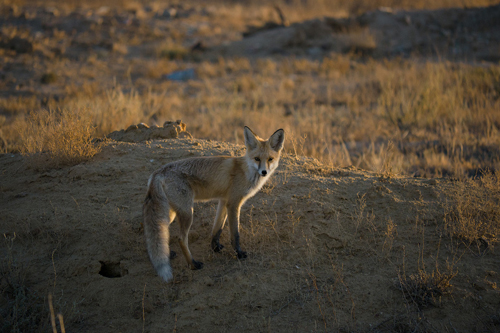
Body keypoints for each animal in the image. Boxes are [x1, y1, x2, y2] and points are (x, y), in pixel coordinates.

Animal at [144, 126, 286, 282]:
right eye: (257, 159)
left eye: (270, 159)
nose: (264, 172)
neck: (245, 171)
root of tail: (157, 173)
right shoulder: (234, 203)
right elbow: (235, 234)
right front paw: (239, 254)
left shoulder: (223, 201)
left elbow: (217, 228)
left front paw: (215, 247)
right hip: (187, 212)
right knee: (181, 239)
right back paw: (193, 264)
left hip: (171, 213)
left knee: (157, 232)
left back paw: (167, 255)